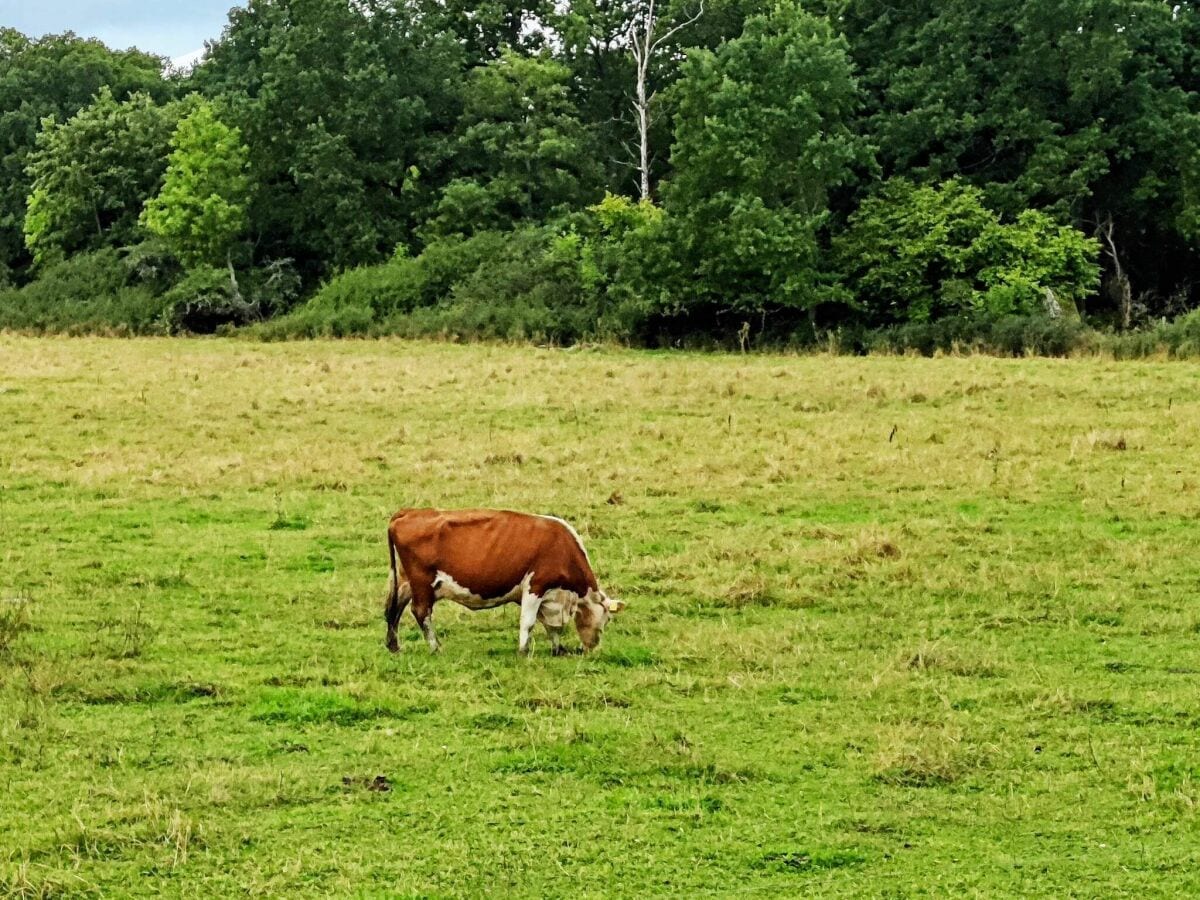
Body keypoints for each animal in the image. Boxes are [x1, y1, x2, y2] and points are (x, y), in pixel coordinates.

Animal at [384, 511, 628, 657]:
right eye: (607, 619)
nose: (593, 647)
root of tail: (409, 512)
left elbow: (552, 627)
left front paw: (558, 648)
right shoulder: (535, 586)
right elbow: (528, 622)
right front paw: (523, 651)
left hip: (405, 581)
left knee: (393, 610)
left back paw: (394, 646)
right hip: (422, 583)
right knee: (420, 612)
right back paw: (435, 647)